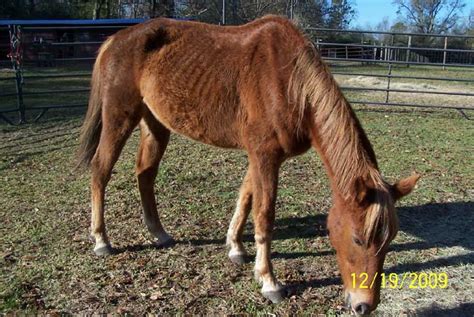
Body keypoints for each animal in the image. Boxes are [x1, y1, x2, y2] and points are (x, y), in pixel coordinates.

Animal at [77, 16, 418, 314]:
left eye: (390, 239)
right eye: (358, 239)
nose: (364, 305)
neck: (288, 82)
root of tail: (114, 40)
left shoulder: (260, 156)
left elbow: (245, 198)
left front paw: (235, 248)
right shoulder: (265, 156)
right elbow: (264, 215)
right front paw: (269, 281)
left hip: (155, 124)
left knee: (145, 174)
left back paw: (158, 232)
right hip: (119, 118)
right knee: (101, 171)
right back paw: (101, 240)